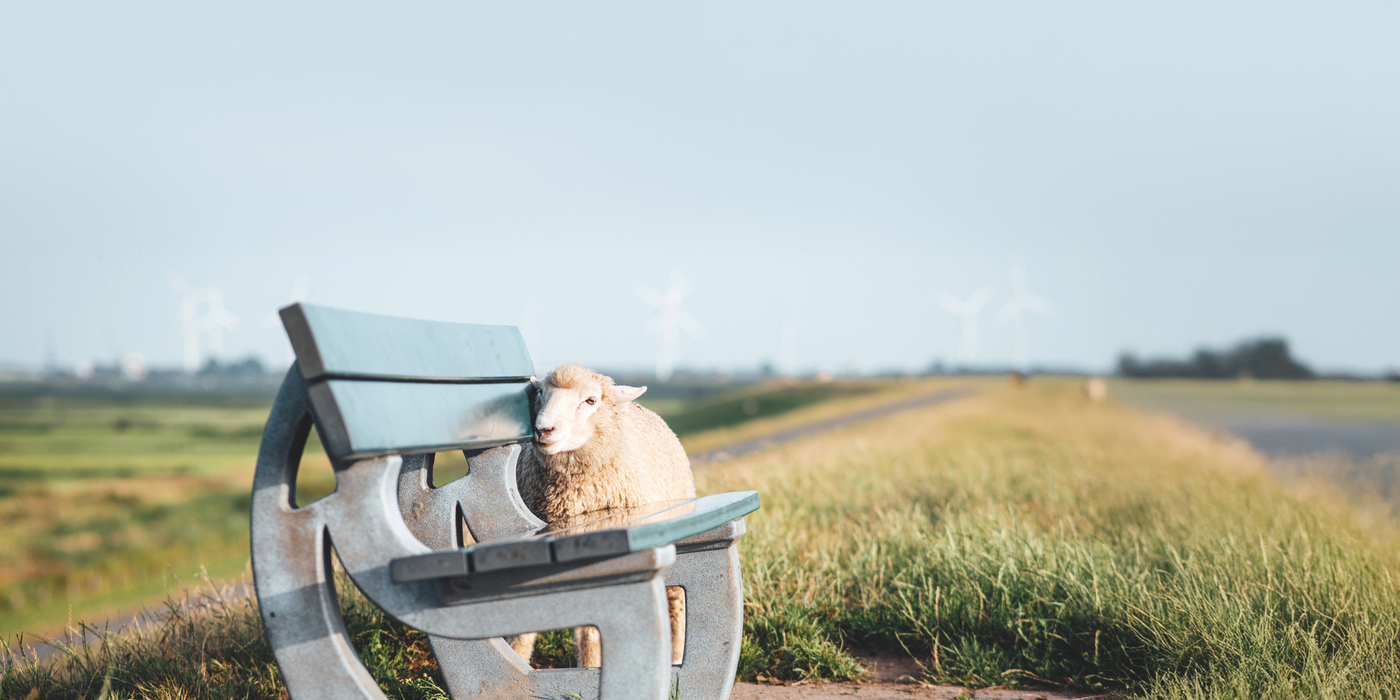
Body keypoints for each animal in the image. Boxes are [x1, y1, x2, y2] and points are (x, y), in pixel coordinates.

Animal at [509, 363, 696, 668]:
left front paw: (590, 664)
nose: (543, 430)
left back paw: (677, 654)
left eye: (590, 400)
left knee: (676, 600)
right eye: (540, 394)